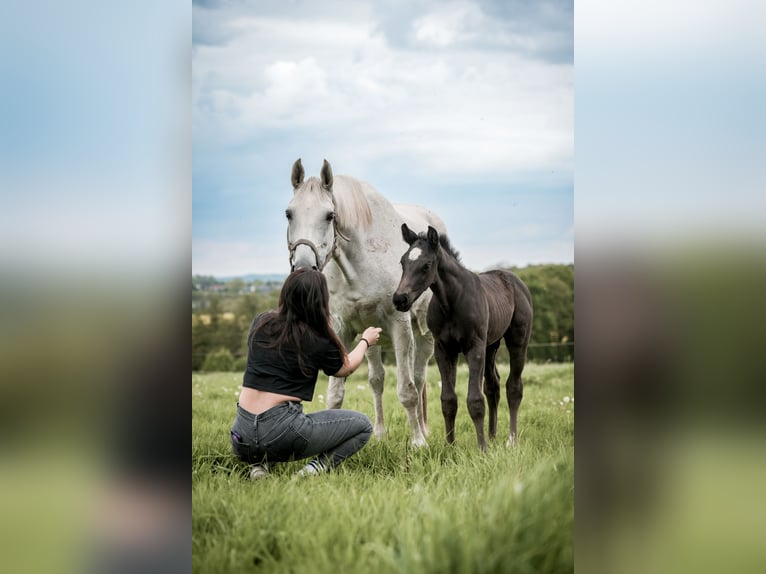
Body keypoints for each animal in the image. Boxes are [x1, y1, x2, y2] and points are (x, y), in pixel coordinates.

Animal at [288, 160, 448, 448]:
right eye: (288, 214)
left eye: (329, 215)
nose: (304, 267)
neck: (360, 262)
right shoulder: (342, 329)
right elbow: (336, 393)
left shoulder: (400, 326)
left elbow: (407, 391)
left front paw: (419, 443)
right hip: (372, 338)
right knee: (377, 380)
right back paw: (381, 434)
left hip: (424, 336)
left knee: (418, 380)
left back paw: (422, 429)